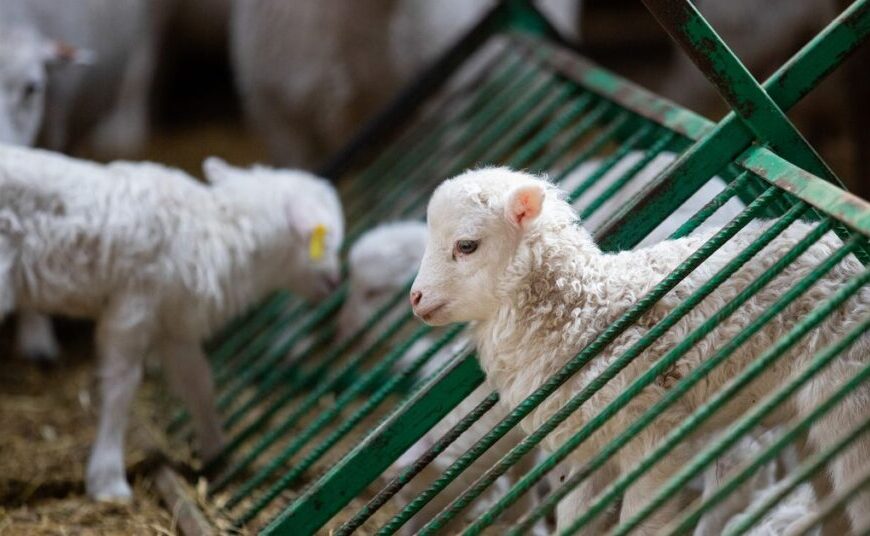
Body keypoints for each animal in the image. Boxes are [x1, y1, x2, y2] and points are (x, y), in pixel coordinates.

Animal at [0, 145, 344, 500]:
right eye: (325, 239)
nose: (336, 281)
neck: (215, 229)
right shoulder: (133, 306)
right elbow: (122, 387)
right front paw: (108, 480)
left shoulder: (173, 321)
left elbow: (198, 382)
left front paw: (217, 452)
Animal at [410, 167, 868, 533]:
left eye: (466, 245)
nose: (416, 299)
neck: (584, 310)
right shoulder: (588, 450)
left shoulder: (653, 432)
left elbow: (641, 521)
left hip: (847, 397)